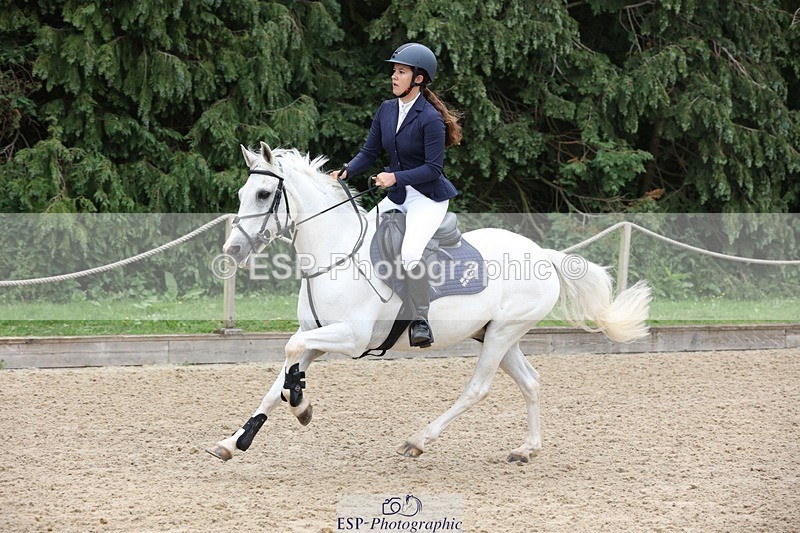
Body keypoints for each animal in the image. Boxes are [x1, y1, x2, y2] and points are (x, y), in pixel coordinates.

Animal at [206, 142, 652, 463]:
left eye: (264, 193)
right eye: (243, 193)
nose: (232, 250)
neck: (334, 256)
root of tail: (543, 254)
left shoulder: (350, 338)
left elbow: (290, 354)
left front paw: (300, 404)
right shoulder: (316, 333)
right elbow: (278, 378)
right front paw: (234, 440)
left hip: (502, 334)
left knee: (477, 388)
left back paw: (418, 441)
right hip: (497, 335)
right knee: (530, 381)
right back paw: (526, 450)